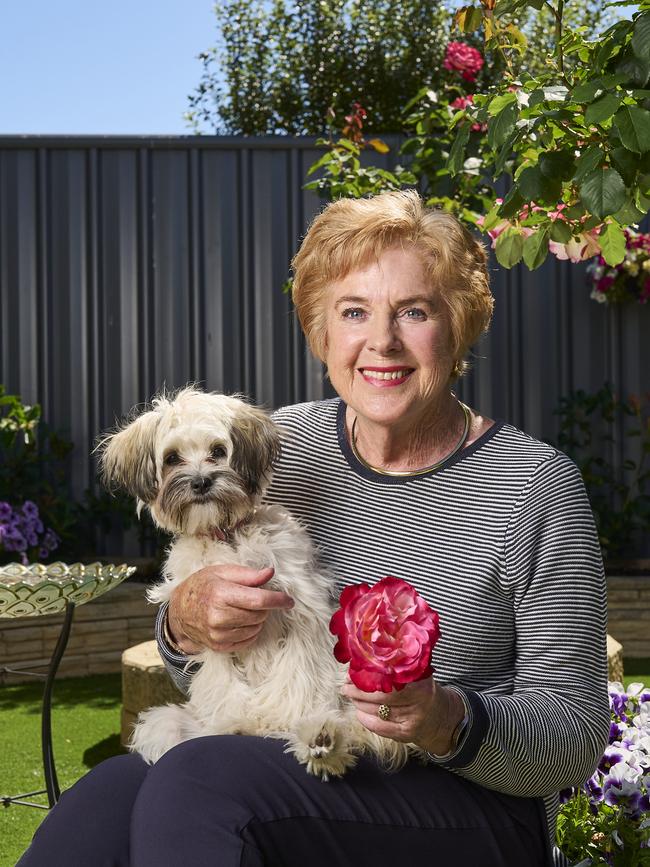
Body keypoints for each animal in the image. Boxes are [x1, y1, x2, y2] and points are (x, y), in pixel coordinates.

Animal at [98, 386, 412, 780]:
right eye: (171, 458)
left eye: (218, 451)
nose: (201, 482)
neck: (227, 535)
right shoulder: (214, 633)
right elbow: (224, 684)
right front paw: (238, 721)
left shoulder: (301, 613)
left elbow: (297, 678)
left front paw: (283, 720)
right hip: (162, 723)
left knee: (355, 726)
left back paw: (321, 740)